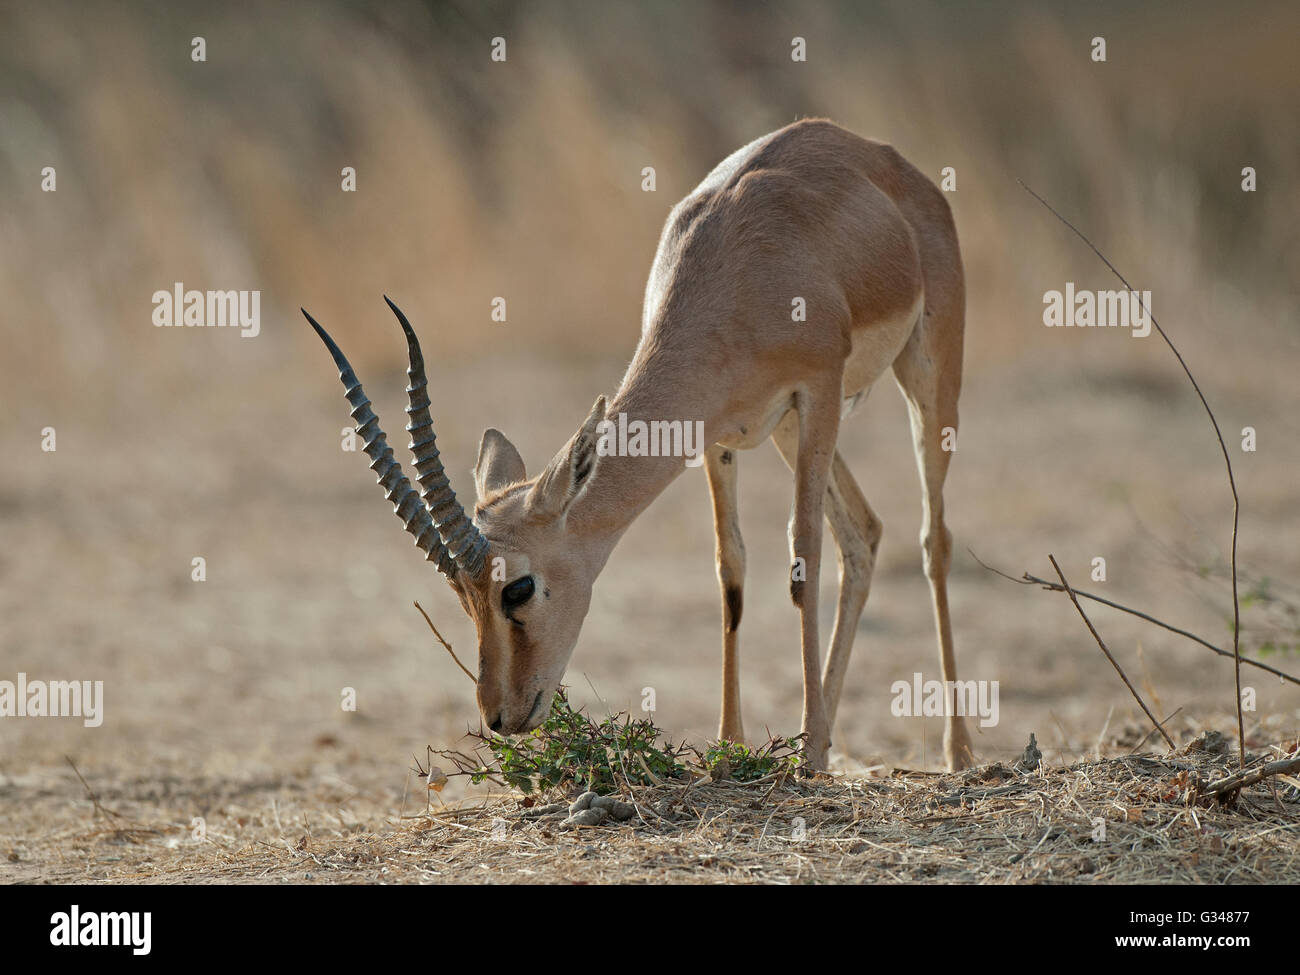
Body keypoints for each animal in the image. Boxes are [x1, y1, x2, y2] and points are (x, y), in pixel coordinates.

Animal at [304, 118, 974, 771]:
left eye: (517, 587)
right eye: (462, 596)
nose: (499, 716)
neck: (742, 271)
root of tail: (890, 162)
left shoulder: (818, 390)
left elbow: (801, 556)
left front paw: (805, 754)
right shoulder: (714, 434)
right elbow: (730, 567)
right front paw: (732, 746)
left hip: (921, 376)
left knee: (932, 537)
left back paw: (955, 750)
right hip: (788, 432)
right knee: (863, 533)